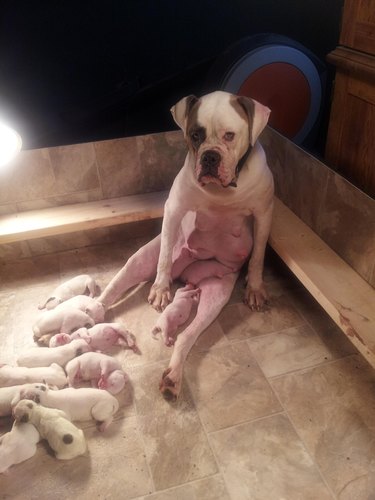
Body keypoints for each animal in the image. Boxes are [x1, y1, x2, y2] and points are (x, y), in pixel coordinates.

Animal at [97, 91, 274, 402]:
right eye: (195, 135)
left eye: (230, 135)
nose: (210, 156)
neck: (223, 192)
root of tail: (186, 274)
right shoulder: (175, 208)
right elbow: (165, 256)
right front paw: (160, 288)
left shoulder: (264, 214)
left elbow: (258, 256)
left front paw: (254, 287)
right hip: (139, 261)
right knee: (111, 291)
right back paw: (90, 312)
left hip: (215, 296)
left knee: (186, 336)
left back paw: (173, 375)